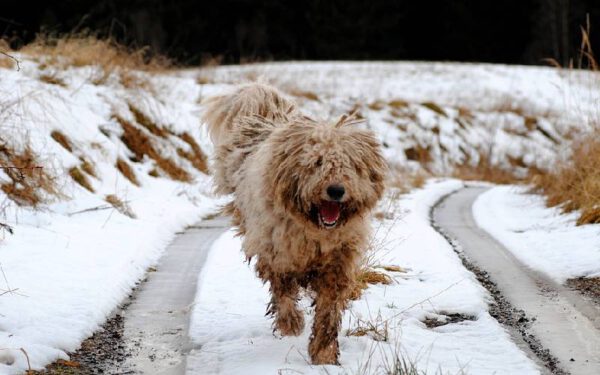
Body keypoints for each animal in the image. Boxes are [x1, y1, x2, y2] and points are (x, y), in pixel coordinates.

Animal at [204, 83, 386, 366]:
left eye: (350, 165)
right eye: (317, 162)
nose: (336, 190)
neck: (314, 231)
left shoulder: (338, 262)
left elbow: (329, 310)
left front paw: (324, 353)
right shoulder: (277, 253)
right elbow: (283, 292)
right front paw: (291, 324)